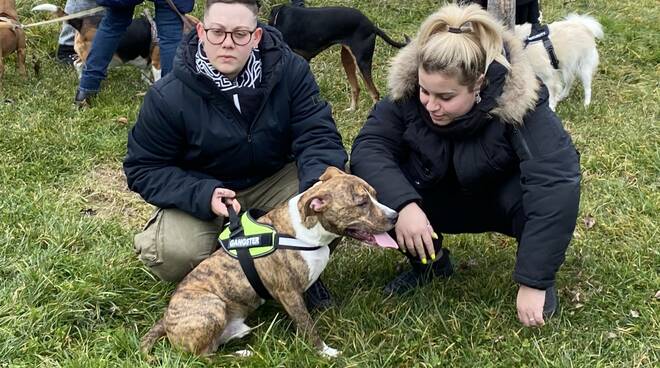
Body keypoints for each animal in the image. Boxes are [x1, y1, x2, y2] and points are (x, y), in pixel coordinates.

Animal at [139, 168, 398, 358]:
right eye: (362, 203)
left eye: (375, 195)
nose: (395, 215)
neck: (304, 232)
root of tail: (166, 320)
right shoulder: (289, 293)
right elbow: (308, 325)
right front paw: (325, 352)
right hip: (212, 306)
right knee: (203, 357)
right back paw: (242, 355)